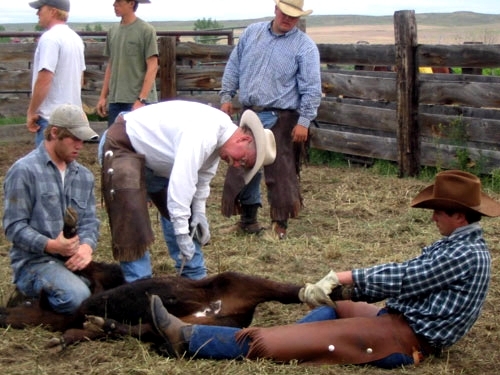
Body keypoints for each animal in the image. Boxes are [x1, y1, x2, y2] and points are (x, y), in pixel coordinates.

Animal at [0, 262, 300, 352]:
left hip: (239, 280)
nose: (2, 313)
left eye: (24, 301)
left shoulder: (96, 289)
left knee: (288, 292)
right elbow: (80, 332)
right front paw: (62, 340)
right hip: (186, 327)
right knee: (153, 331)